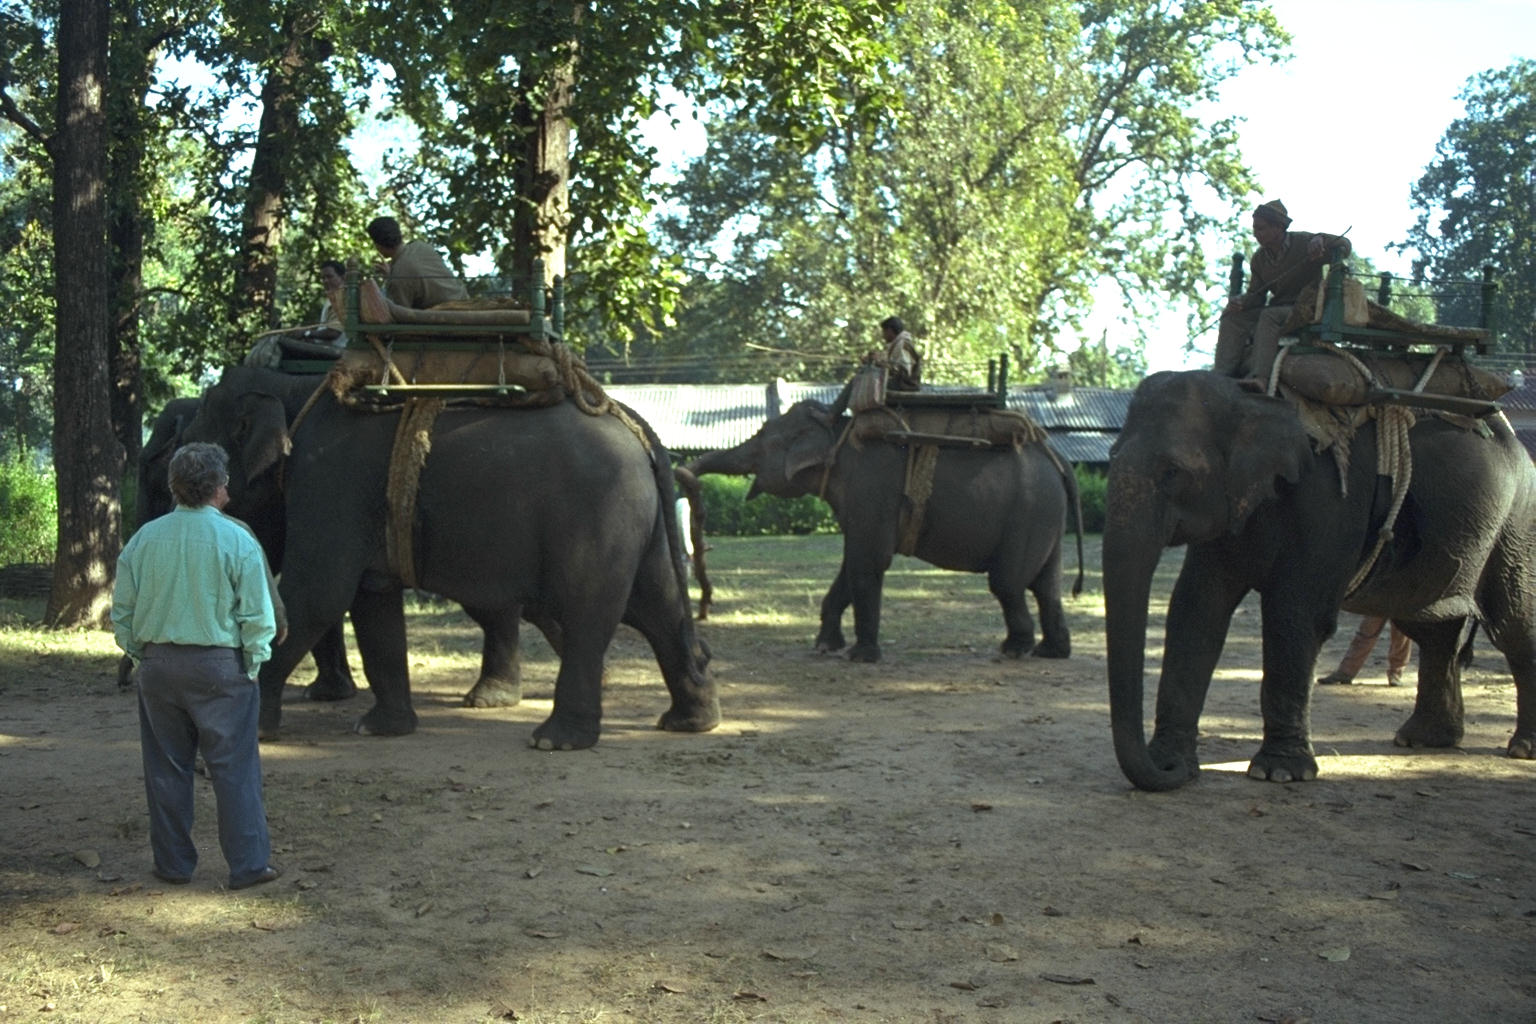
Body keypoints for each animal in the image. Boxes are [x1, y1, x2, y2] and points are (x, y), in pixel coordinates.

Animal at [179, 363, 718, 749]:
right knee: (656, 606)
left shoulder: (329, 477)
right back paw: (692, 720)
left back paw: (555, 741)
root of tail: (639, 432)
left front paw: (254, 731)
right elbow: (371, 599)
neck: (295, 386)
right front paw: (379, 729)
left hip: (597, 515)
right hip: (637, 520)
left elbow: (317, 593)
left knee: (590, 611)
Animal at [691, 396, 1087, 660]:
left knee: (1008, 583)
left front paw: (861, 657)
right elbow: (851, 565)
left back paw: (1013, 650)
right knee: (1046, 584)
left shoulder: (872, 490)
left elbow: (868, 562)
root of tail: (1059, 460)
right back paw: (1051, 652)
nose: (687, 472)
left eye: (764, 439)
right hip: (1045, 517)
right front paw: (825, 647)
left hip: (1029, 512)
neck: (839, 432)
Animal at [1105, 369, 1536, 792]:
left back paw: (1521, 749)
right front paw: (1173, 761)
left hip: (1517, 524)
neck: (1251, 394)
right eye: (1110, 458)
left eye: (1172, 472)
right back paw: (1423, 740)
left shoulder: (1330, 499)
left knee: (1513, 626)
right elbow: (1197, 609)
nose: (1171, 773)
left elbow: (1294, 614)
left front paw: (1279, 773)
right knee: (1433, 630)